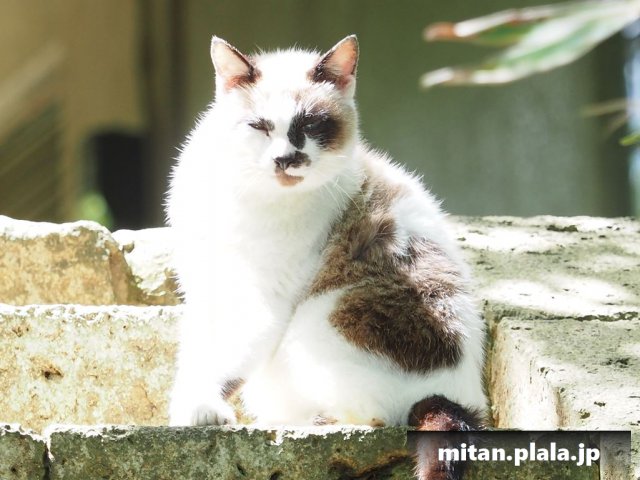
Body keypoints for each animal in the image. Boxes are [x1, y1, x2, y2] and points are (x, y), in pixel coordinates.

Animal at [166, 34, 486, 478]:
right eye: (259, 126)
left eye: (311, 126)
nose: (286, 159)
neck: (246, 196)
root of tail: (459, 398)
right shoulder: (205, 288)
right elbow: (196, 355)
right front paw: (185, 400)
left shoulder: (263, 300)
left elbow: (228, 360)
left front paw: (202, 409)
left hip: (314, 322)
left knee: (374, 417)